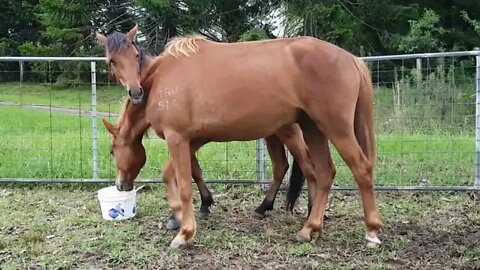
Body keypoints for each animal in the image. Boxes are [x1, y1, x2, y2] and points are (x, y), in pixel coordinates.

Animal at [96, 26, 382, 248]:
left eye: (111, 151)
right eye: (111, 60)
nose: (121, 186)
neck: (162, 78)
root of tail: (351, 58)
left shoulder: (177, 138)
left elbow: (184, 184)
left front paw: (184, 231)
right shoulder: (193, 140)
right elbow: (177, 175)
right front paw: (180, 215)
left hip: (333, 128)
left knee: (360, 169)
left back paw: (371, 231)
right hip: (312, 128)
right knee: (322, 172)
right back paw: (309, 227)